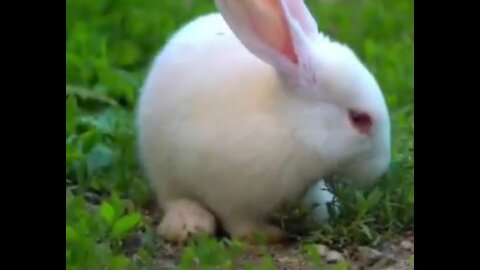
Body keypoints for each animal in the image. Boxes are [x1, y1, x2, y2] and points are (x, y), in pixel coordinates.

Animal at [135, 0, 390, 245]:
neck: (291, 126)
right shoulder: (229, 195)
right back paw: (189, 224)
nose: (380, 168)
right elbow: (239, 222)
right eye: (359, 119)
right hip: (164, 170)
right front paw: (268, 235)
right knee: (173, 198)